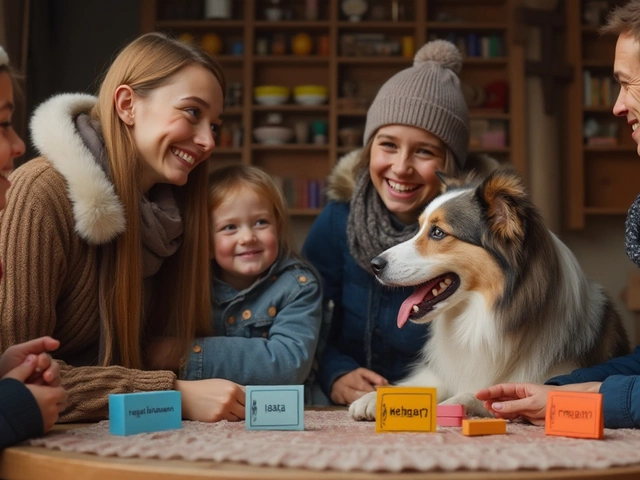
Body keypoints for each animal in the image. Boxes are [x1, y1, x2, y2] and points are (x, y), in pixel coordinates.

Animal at [348, 167, 628, 418]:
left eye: (437, 232)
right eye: (418, 228)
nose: (375, 265)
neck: (482, 314)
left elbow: (478, 394)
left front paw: (448, 405)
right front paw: (372, 396)